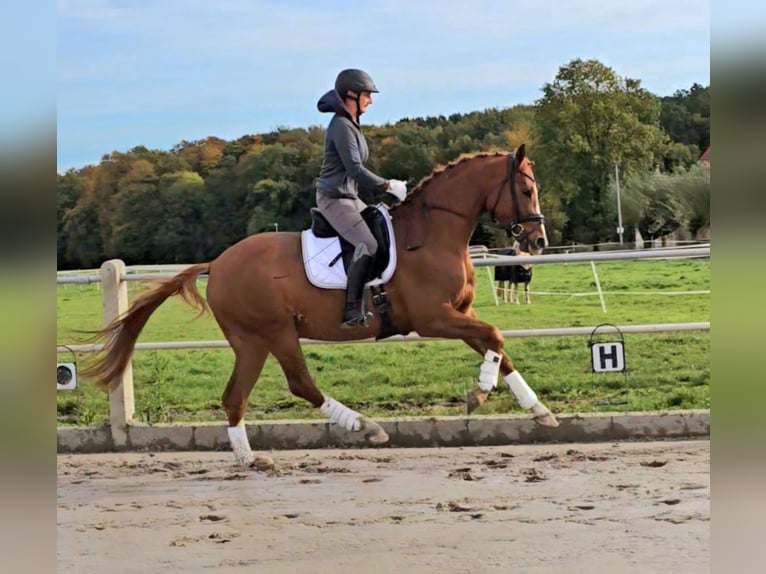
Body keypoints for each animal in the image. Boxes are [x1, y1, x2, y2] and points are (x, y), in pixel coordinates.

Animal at [82, 146, 560, 470]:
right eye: (526, 189)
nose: (538, 242)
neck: (433, 232)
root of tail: (218, 263)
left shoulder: (459, 316)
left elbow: (496, 346)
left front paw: (538, 410)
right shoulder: (432, 317)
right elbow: (495, 336)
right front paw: (479, 392)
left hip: (252, 342)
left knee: (236, 395)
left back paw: (249, 459)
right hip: (274, 332)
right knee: (300, 384)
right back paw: (365, 427)